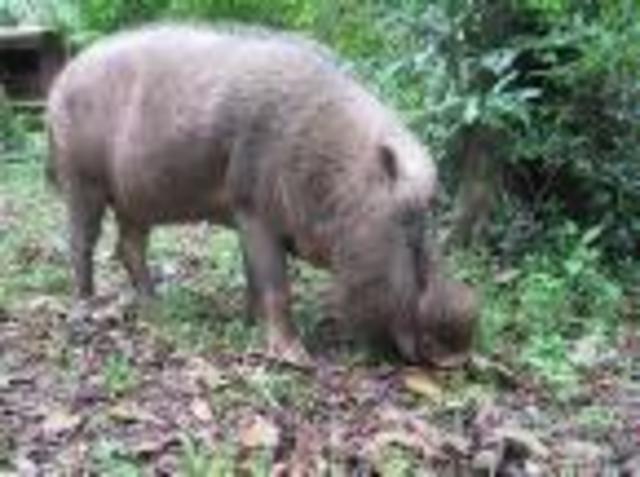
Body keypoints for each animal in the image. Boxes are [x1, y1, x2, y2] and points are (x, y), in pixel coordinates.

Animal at [47, 23, 452, 365]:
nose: (454, 352)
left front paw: (248, 324)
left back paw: (156, 305)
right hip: (80, 178)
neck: (334, 173)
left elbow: (254, 277)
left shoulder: (245, 215)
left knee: (128, 246)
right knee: (81, 243)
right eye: (407, 224)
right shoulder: (253, 205)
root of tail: (60, 80)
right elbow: (276, 283)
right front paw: (298, 359)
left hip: (135, 200)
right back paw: (87, 308)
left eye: (428, 216)